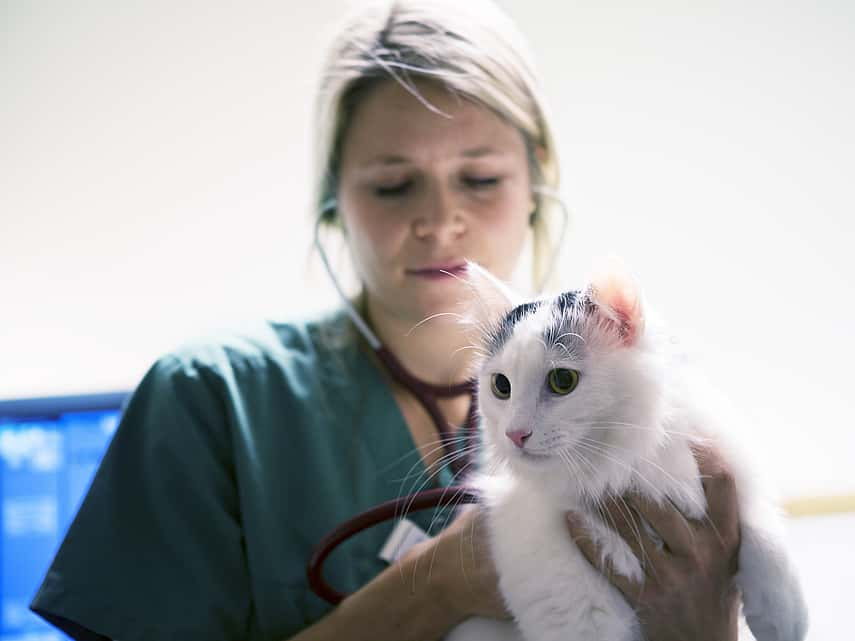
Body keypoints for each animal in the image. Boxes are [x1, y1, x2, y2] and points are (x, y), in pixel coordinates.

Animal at [448, 260, 808, 640]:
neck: (618, 468)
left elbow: (759, 529)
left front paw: (783, 615)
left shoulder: (724, 466)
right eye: (501, 386)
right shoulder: (580, 614)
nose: (515, 434)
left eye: (562, 381)